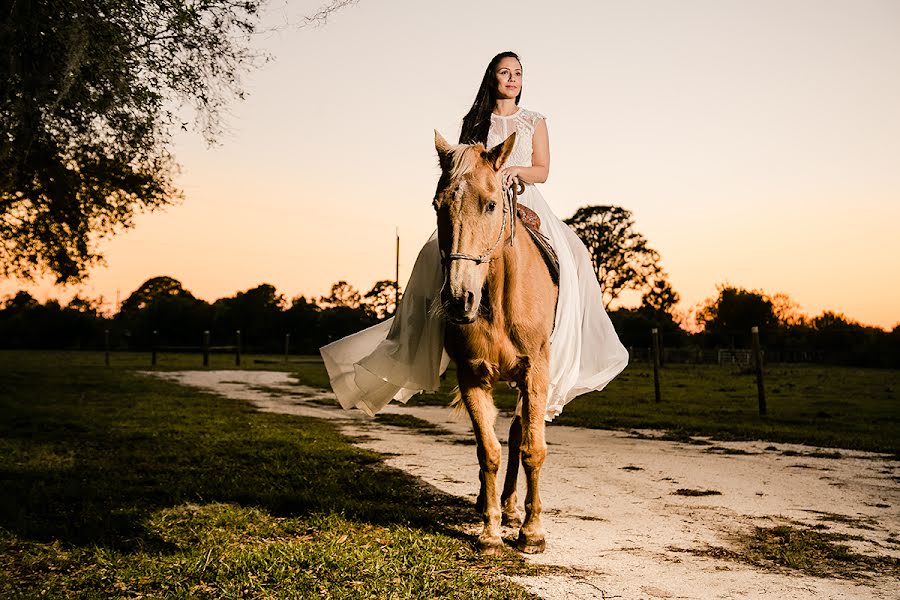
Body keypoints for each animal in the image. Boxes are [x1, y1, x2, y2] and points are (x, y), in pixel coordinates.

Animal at [432, 130, 560, 552]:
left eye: (490, 205)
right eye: (437, 206)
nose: (459, 299)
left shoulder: (535, 374)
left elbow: (532, 450)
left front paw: (532, 532)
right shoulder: (472, 375)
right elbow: (488, 451)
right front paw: (489, 532)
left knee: (520, 434)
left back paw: (513, 508)